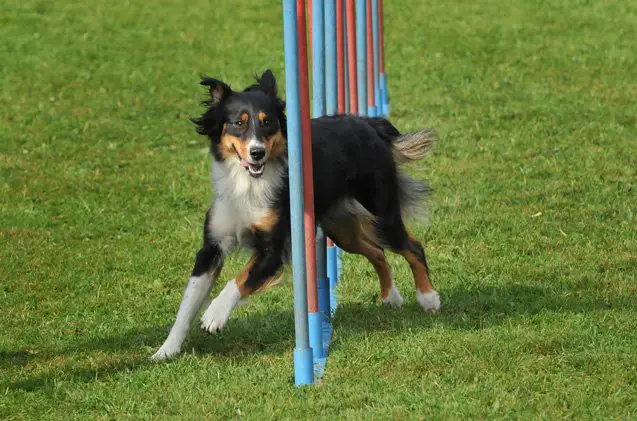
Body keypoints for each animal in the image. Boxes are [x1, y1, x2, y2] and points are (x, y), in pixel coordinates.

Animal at [150, 70, 438, 360]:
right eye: (238, 123)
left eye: (267, 122)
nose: (257, 152)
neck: (248, 184)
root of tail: (368, 124)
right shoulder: (212, 247)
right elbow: (188, 303)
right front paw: (166, 350)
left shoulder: (272, 250)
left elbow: (237, 281)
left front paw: (214, 315)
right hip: (341, 229)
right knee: (377, 252)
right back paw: (391, 297)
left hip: (382, 215)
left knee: (412, 247)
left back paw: (428, 299)